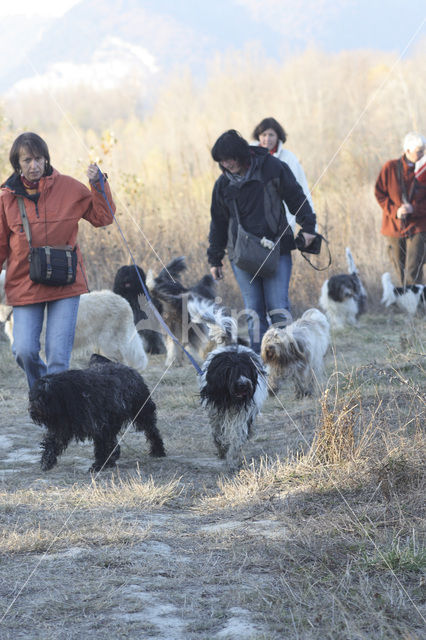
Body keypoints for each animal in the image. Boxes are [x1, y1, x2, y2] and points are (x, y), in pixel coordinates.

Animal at [29, 352, 166, 472]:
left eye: (43, 397)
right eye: (33, 397)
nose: (33, 411)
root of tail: (129, 368)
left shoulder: (99, 426)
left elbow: (102, 447)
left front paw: (99, 465)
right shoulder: (63, 427)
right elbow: (52, 443)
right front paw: (47, 461)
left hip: (142, 412)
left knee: (152, 431)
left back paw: (158, 450)